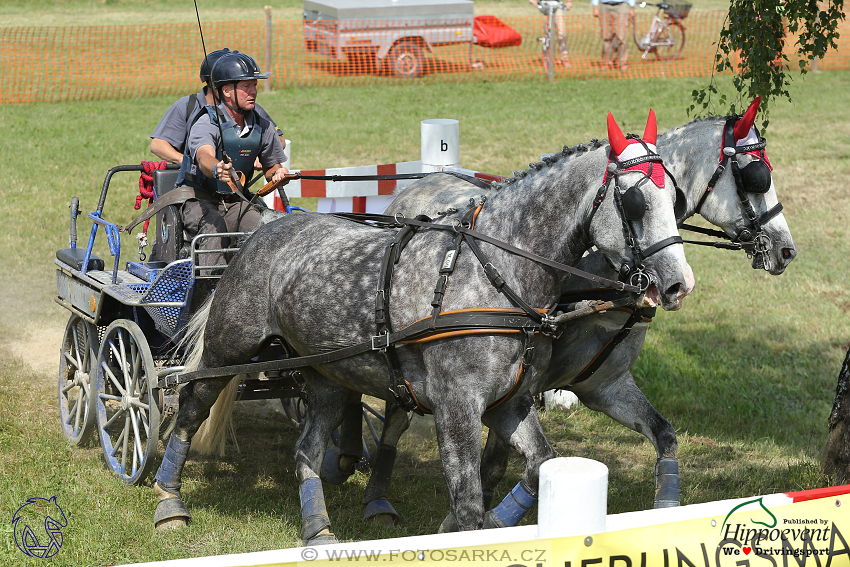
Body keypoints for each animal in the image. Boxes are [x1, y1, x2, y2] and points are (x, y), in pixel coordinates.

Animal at [152, 110, 692, 540]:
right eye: (636, 202)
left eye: (677, 200)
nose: (678, 284)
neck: (496, 270)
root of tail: (264, 226)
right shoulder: (458, 405)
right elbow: (468, 504)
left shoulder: (510, 401)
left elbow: (540, 466)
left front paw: (494, 522)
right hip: (228, 349)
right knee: (190, 406)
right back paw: (168, 500)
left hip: (328, 374)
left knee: (306, 448)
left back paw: (319, 529)